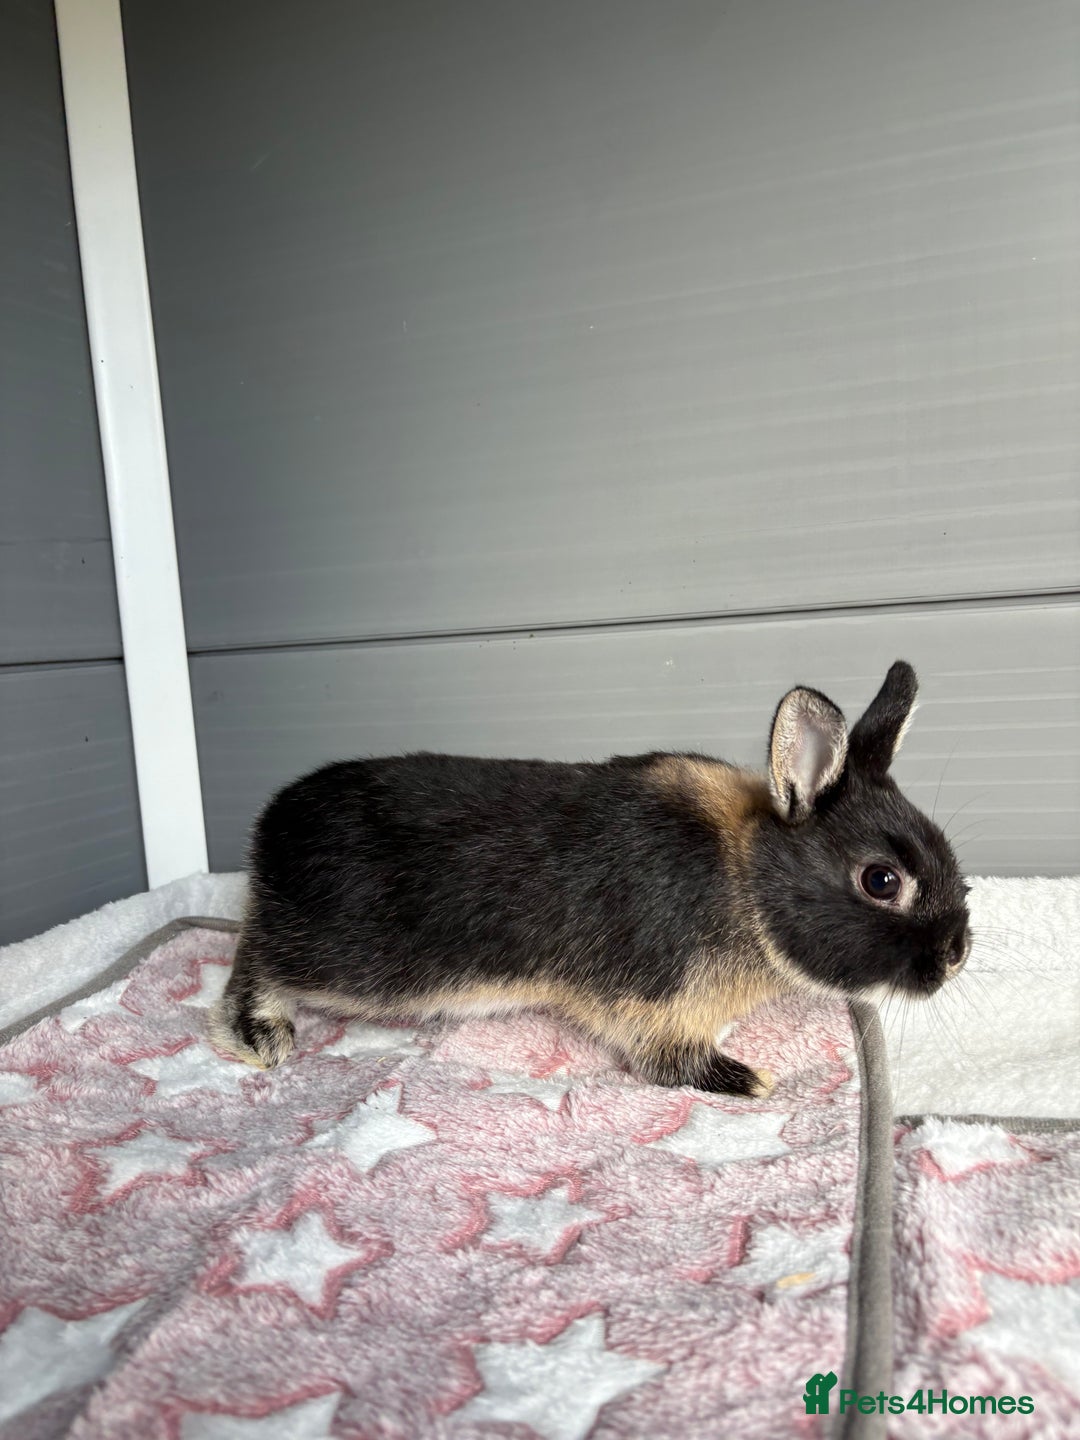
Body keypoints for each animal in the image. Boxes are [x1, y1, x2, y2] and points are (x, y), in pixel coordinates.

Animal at [211, 660, 970, 1096]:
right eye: (881, 881)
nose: (957, 955)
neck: (745, 877)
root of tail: (269, 828)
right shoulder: (656, 1009)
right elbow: (670, 1066)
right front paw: (750, 1080)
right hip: (347, 958)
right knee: (255, 955)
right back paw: (259, 1033)